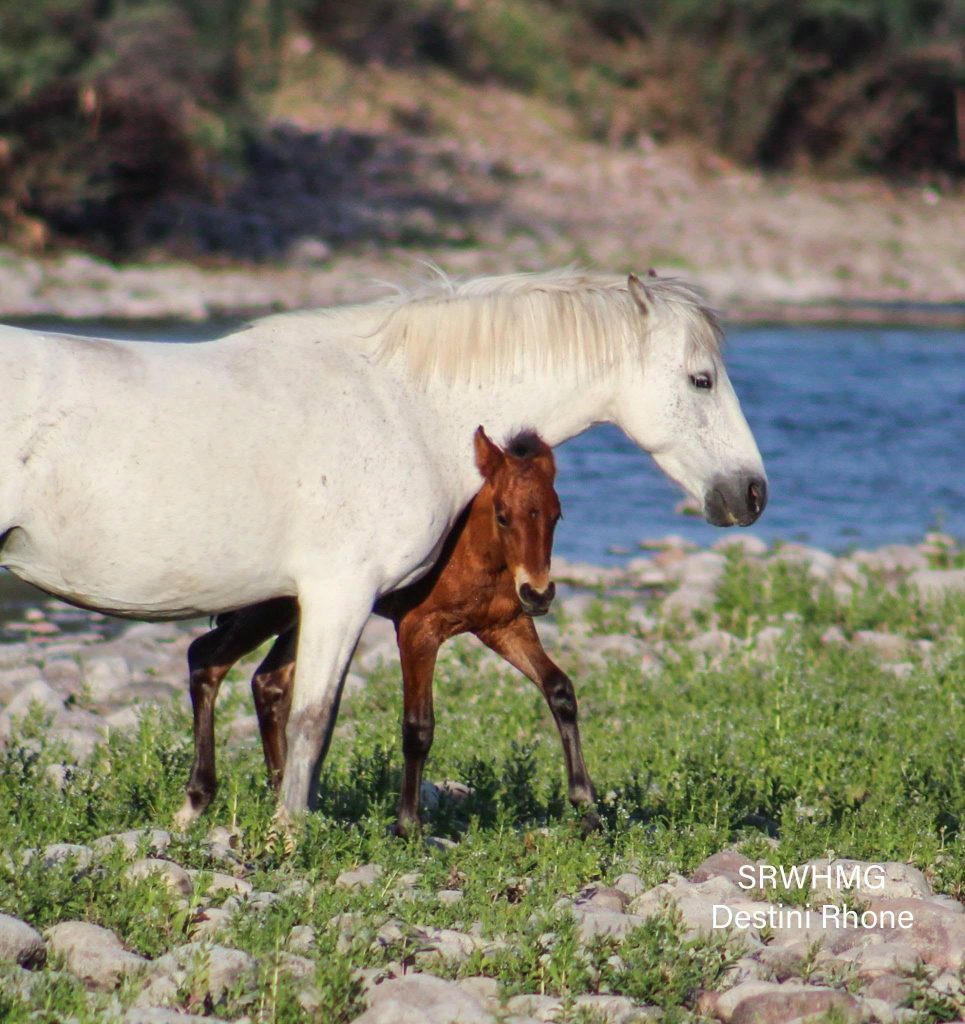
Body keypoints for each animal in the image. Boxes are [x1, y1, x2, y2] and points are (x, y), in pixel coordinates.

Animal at [175, 426, 597, 835]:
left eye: (556, 515)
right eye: (503, 515)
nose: (538, 593)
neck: (472, 555)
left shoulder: (505, 626)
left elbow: (559, 690)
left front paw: (587, 808)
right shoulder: (417, 630)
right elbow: (418, 726)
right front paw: (408, 826)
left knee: (267, 681)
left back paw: (282, 796)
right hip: (276, 607)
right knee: (207, 658)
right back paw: (200, 797)